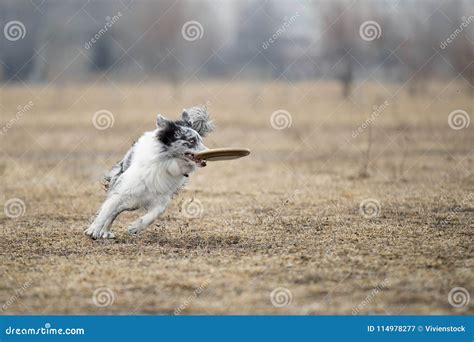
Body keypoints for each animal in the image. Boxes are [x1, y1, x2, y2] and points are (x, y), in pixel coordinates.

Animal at [84, 105, 214, 239]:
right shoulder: (123, 190)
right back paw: (104, 231)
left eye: (200, 140)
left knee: (118, 210)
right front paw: (94, 229)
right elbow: (107, 210)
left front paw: (136, 227)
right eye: (192, 141)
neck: (166, 163)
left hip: (133, 203)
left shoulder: (162, 197)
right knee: (113, 209)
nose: (210, 153)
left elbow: (155, 213)